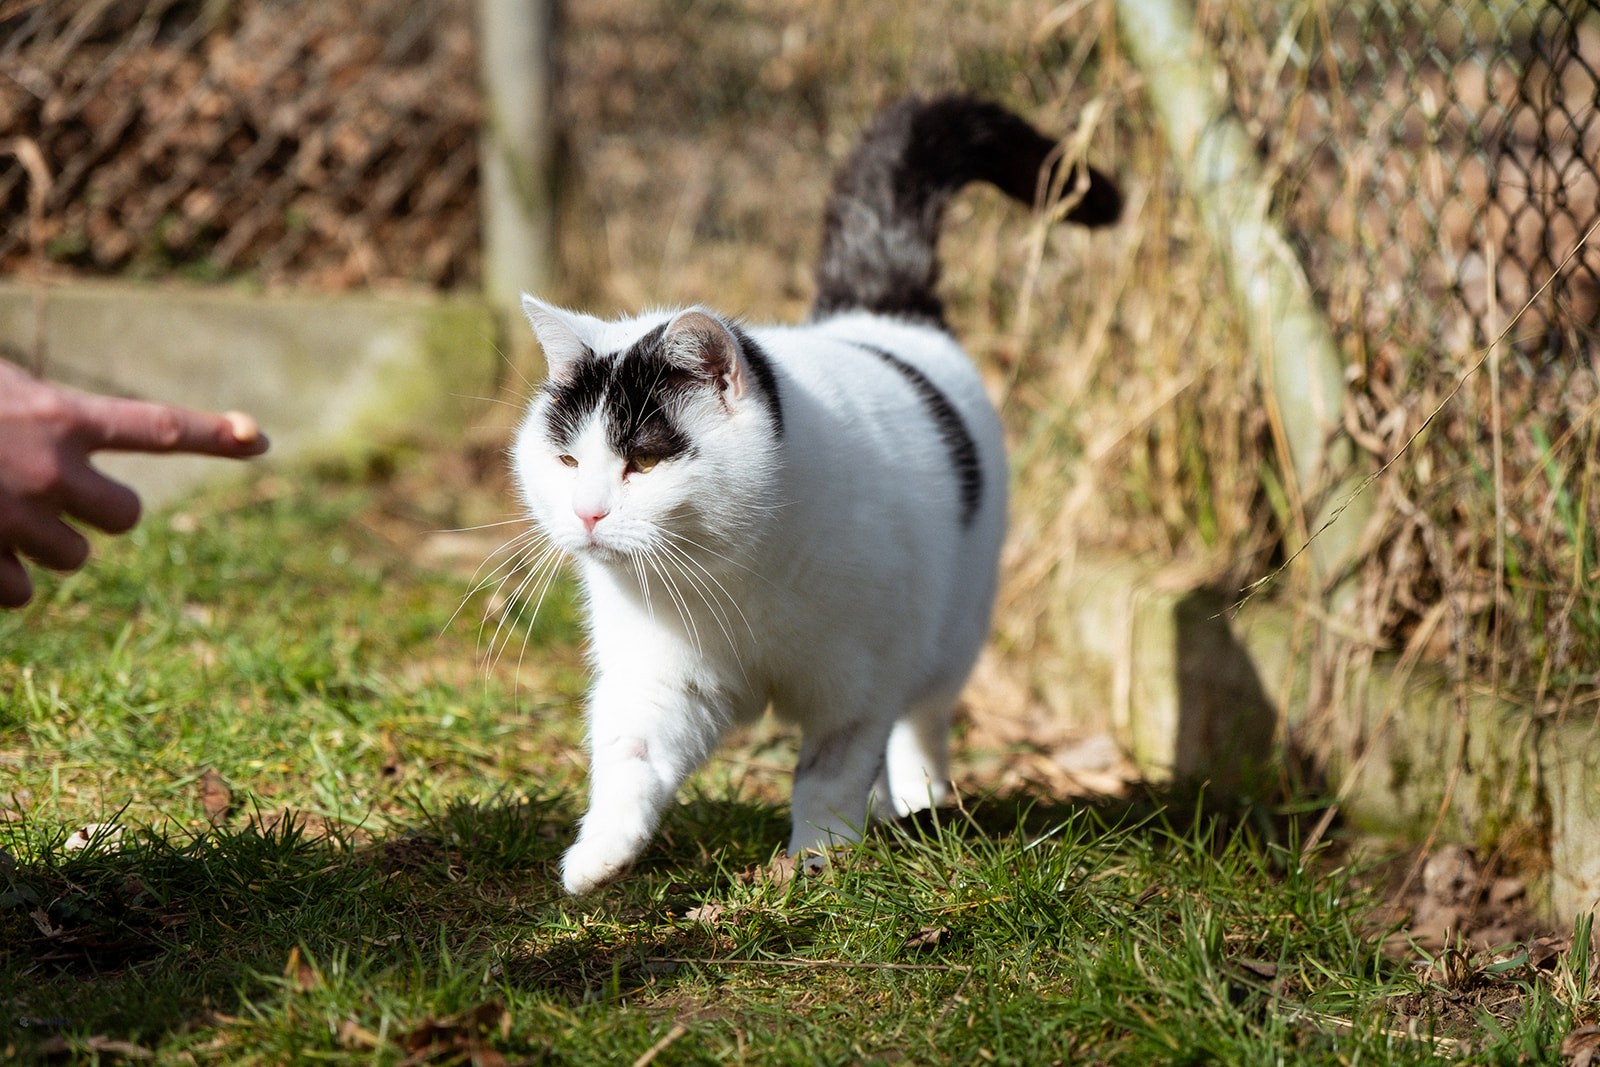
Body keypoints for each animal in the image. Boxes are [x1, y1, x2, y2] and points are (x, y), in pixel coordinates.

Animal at [509, 94, 1120, 894]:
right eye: (566, 459)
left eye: (642, 461)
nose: (587, 511)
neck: (732, 577)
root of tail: (880, 311)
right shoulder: (658, 675)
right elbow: (629, 760)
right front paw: (598, 857)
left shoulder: (857, 689)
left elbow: (828, 778)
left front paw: (818, 862)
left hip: (952, 631)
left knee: (922, 721)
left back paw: (918, 804)